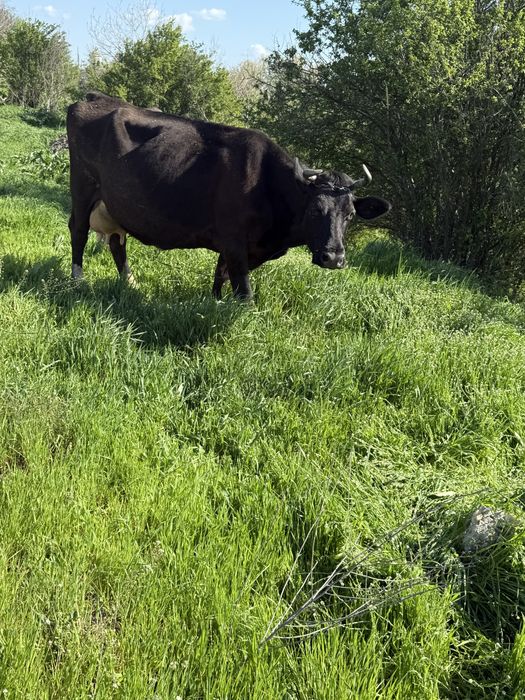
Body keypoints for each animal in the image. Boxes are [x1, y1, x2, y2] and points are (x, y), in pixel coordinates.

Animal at [67, 92, 391, 300]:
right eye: (314, 210)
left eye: (350, 215)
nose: (333, 258)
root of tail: (96, 98)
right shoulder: (234, 241)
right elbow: (244, 292)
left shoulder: (235, 246)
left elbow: (220, 275)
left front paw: (215, 302)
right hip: (82, 187)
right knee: (78, 231)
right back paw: (78, 281)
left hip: (114, 204)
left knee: (117, 242)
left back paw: (130, 284)